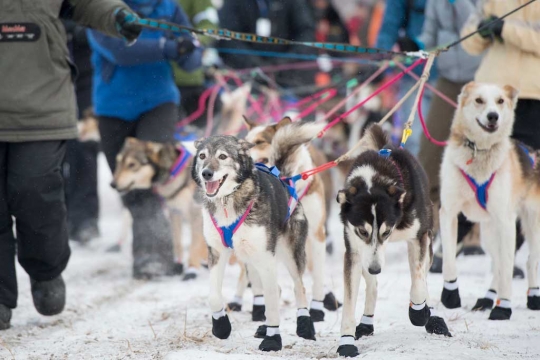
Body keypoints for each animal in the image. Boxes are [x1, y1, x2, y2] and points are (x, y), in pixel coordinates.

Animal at [112, 138, 207, 282]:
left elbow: (194, 246)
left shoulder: (195, 212)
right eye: (118, 162)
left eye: (132, 164)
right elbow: (177, 243)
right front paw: (178, 263)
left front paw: (192, 269)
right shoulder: (175, 212)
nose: (112, 184)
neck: (173, 171)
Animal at [438, 83, 540, 320]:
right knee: (499, 264)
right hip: (489, 234)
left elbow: (507, 269)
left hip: (530, 225)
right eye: (479, 100)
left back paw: (532, 296)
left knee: (528, 261)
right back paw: (487, 298)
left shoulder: (506, 221)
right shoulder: (448, 213)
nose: (493, 115)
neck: (479, 151)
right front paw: (450, 294)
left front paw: (504, 308)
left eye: (500, 101)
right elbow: (449, 259)